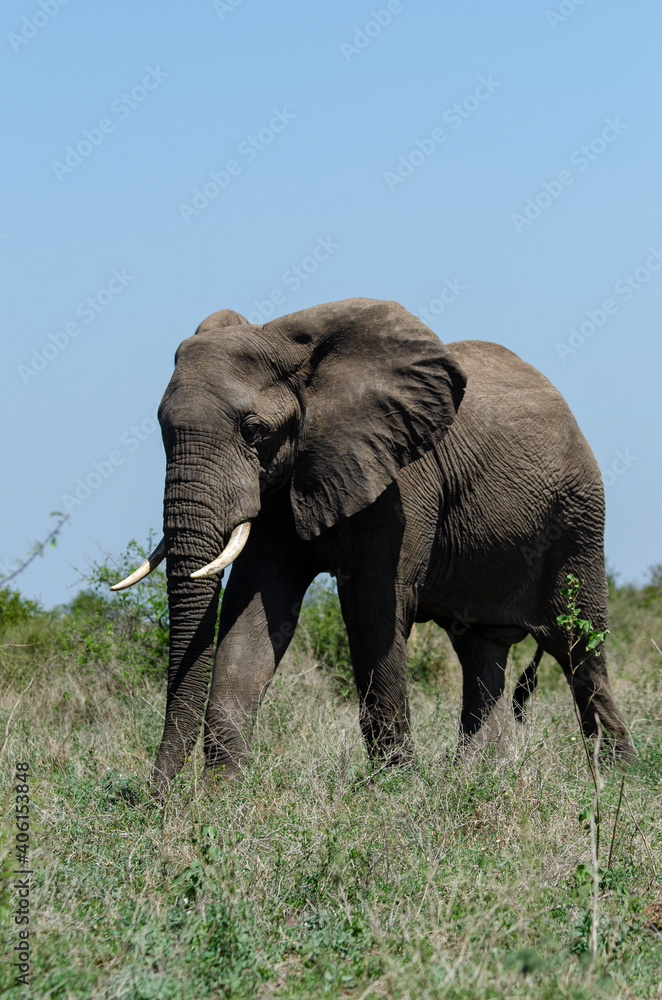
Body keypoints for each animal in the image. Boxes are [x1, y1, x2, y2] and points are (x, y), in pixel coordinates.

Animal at [111, 297, 634, 793]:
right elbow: (254, 617)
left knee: (580, 647)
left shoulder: (400, 481)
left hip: (577, 520)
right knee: (480, 651)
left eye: (252, 431)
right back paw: (477, 776)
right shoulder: (279, 491)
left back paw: (619, 775)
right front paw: (224, 794)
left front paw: (396, 789)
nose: (157, 799)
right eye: (161, 430)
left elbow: (374, 608)